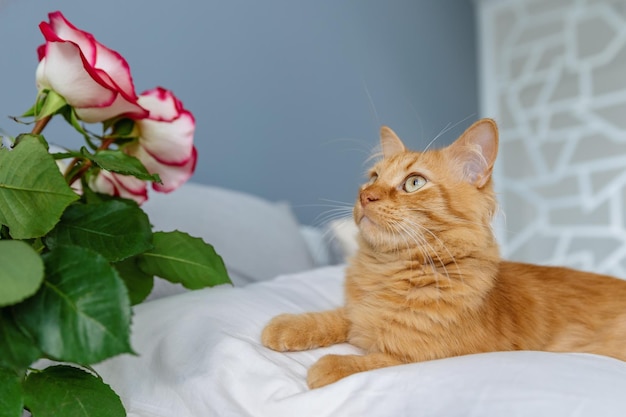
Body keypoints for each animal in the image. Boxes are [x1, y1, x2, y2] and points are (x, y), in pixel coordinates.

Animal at [260, 118, 624, 388]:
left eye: (414, 183)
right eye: (373, 177)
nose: (366, 196)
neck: (389, 269)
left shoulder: (429, 353)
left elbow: (376, 360)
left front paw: (329, 365)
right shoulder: (359, 311)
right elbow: (339, 316)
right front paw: (289, 326)